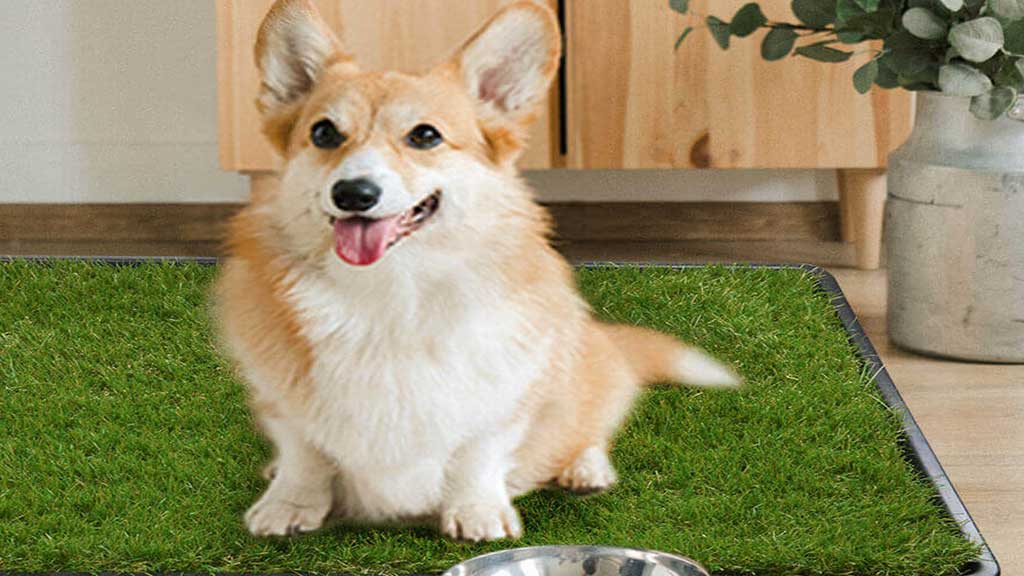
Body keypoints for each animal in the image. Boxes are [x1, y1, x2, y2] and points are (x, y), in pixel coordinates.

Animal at [216, 0, 741, 537]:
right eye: (323, 132)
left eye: (425, 135)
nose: (353, 193)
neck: (389, 291)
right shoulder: (281, 400)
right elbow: (305, 452)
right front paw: (288, 504)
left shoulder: (504, 395)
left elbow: (477, 453)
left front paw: (477, 512)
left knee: (587, 424)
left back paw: (585, 468)